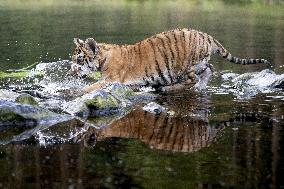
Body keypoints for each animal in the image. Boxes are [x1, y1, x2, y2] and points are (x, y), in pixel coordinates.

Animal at [70, 27, 268, 92]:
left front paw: (73, 91)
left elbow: (90, 87)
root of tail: (206, 36)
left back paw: (167, 88)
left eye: (79, 60)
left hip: (184, 65)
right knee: (209, 70)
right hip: (200, 63)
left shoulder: (111, 79)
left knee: (191, 80)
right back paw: (200, 87)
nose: (71, 72)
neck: (103, 57)